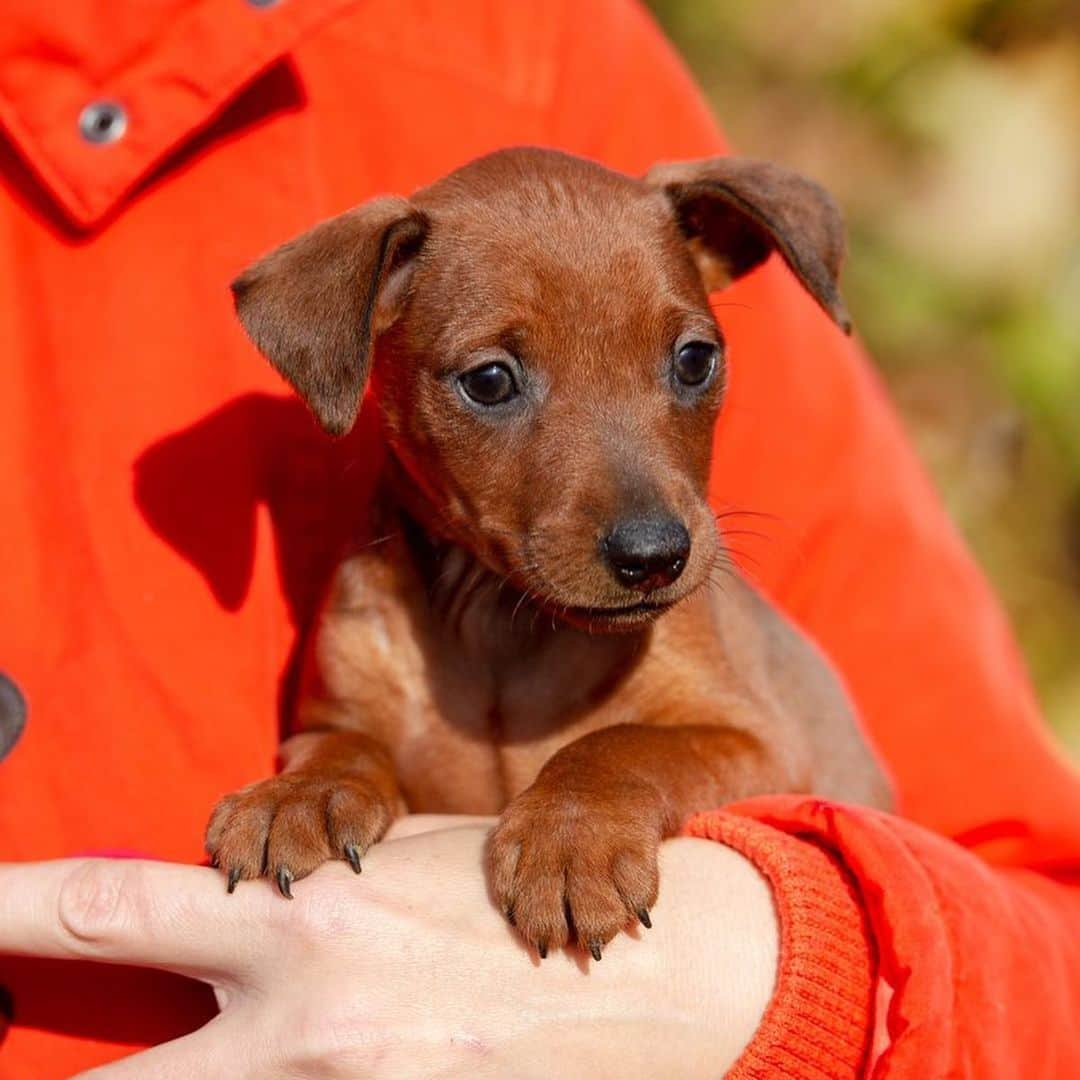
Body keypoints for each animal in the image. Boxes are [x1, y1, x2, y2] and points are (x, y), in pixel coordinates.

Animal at [206, 145, 889, 963]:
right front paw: (295, 797)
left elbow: (619, 745)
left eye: (696, 360)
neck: (502, 627)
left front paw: (571, 841)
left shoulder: (757, 741)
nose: (655, 556)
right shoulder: (327, 717)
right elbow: (343, 747)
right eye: (490, 380)